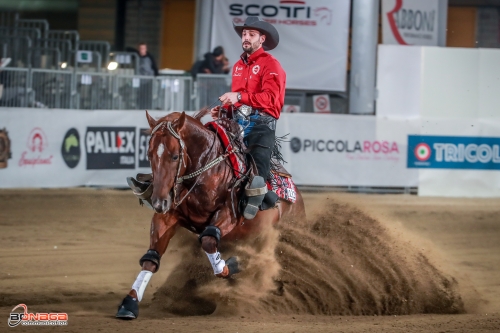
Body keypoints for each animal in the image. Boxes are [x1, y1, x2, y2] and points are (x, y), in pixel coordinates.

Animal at [116, 109, 304, 320]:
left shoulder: (229, 215)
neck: (205, 173)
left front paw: (233, 265)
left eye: (175, 156)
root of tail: (298, 200)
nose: (158, 202)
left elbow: (208, 240)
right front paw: (129, 303)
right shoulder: (167, 217)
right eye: (149, 155)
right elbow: (151, 258)